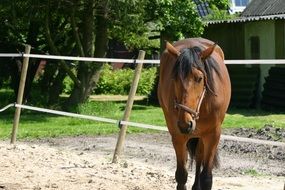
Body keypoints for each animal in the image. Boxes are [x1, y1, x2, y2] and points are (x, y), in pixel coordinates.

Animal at [158, 37, 231, 189]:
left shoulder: (213, 135)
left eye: (199, 78)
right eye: (175, 78)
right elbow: (181, 175)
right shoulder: (178, 135)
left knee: (199, 156)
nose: (185, 124)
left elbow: (207, 178)